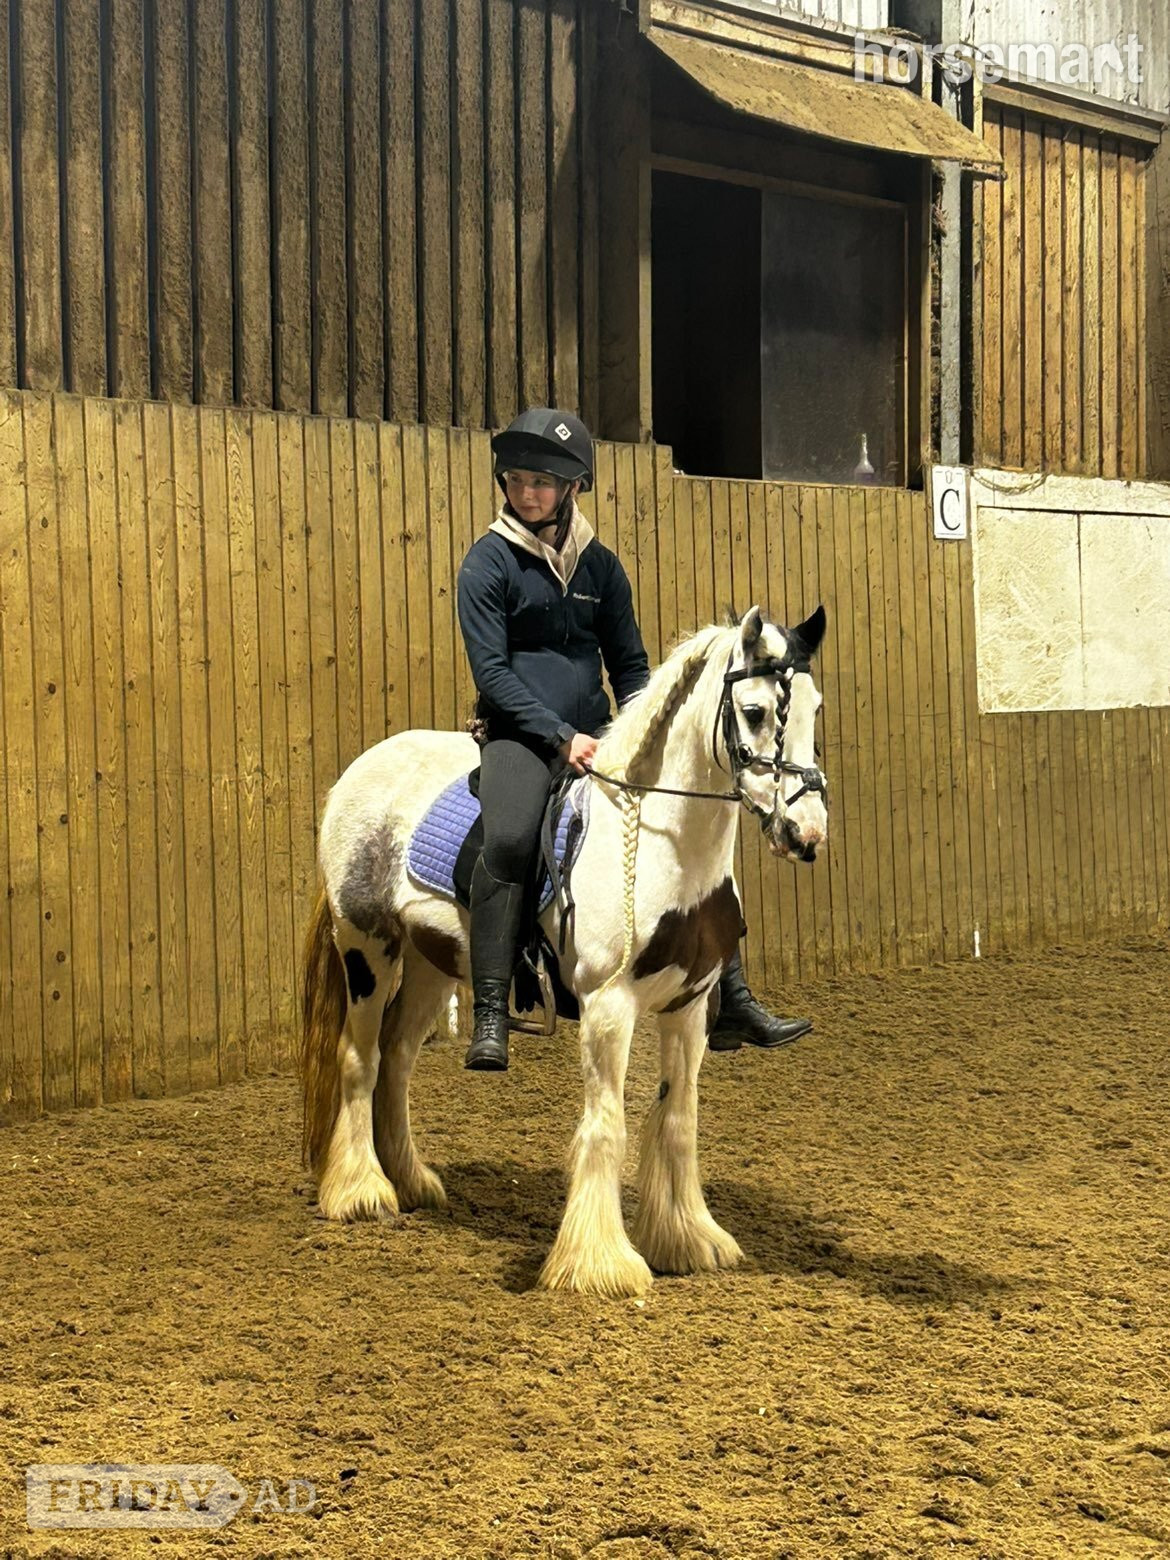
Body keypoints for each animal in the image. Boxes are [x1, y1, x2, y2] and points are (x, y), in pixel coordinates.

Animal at [300, 604, 828, 1298]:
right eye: (755, 712)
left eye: (815, 708)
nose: (806, 833)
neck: (660, 844)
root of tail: (356, 773)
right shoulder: (608, 1007)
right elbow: (607, 1125)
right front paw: (600, 1264)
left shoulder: (688, 1007)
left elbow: (678, 1120)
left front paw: (687, 1239)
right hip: (367, 948)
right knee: (360, 1059)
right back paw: (362, 1192)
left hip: (430, 965)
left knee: (397, 1059)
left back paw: (411, 1181)